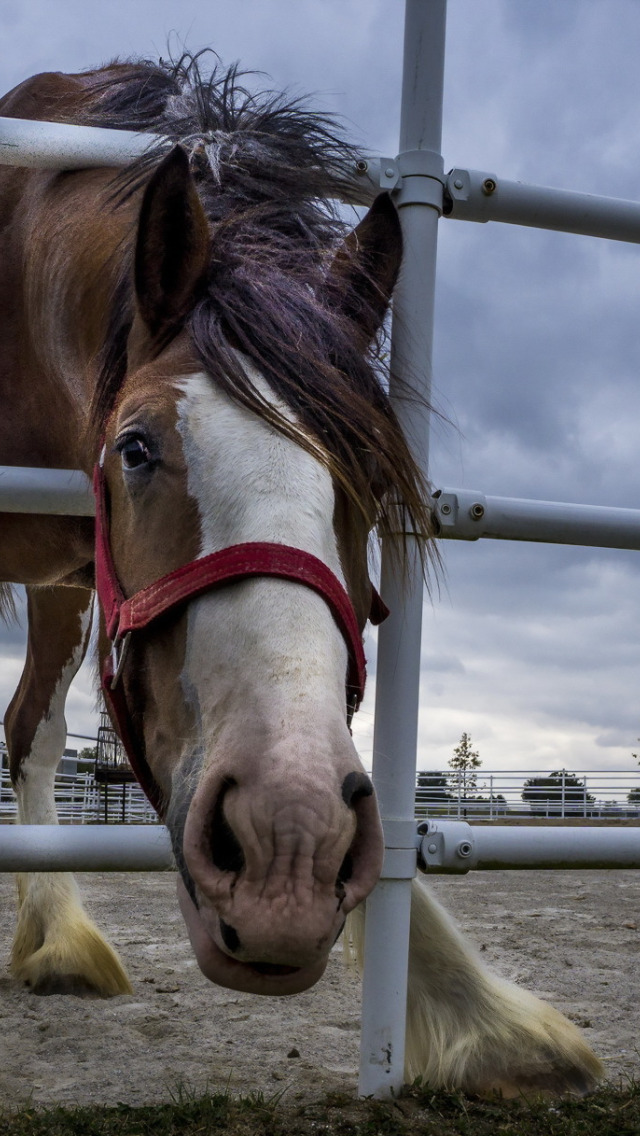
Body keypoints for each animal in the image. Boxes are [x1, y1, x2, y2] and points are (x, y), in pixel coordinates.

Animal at [0, 55, 604, 1099]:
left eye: (370, 476)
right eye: (135, 447)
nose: (287, 847)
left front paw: (485, 1019)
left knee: (31, 730)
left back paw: (57, 940)